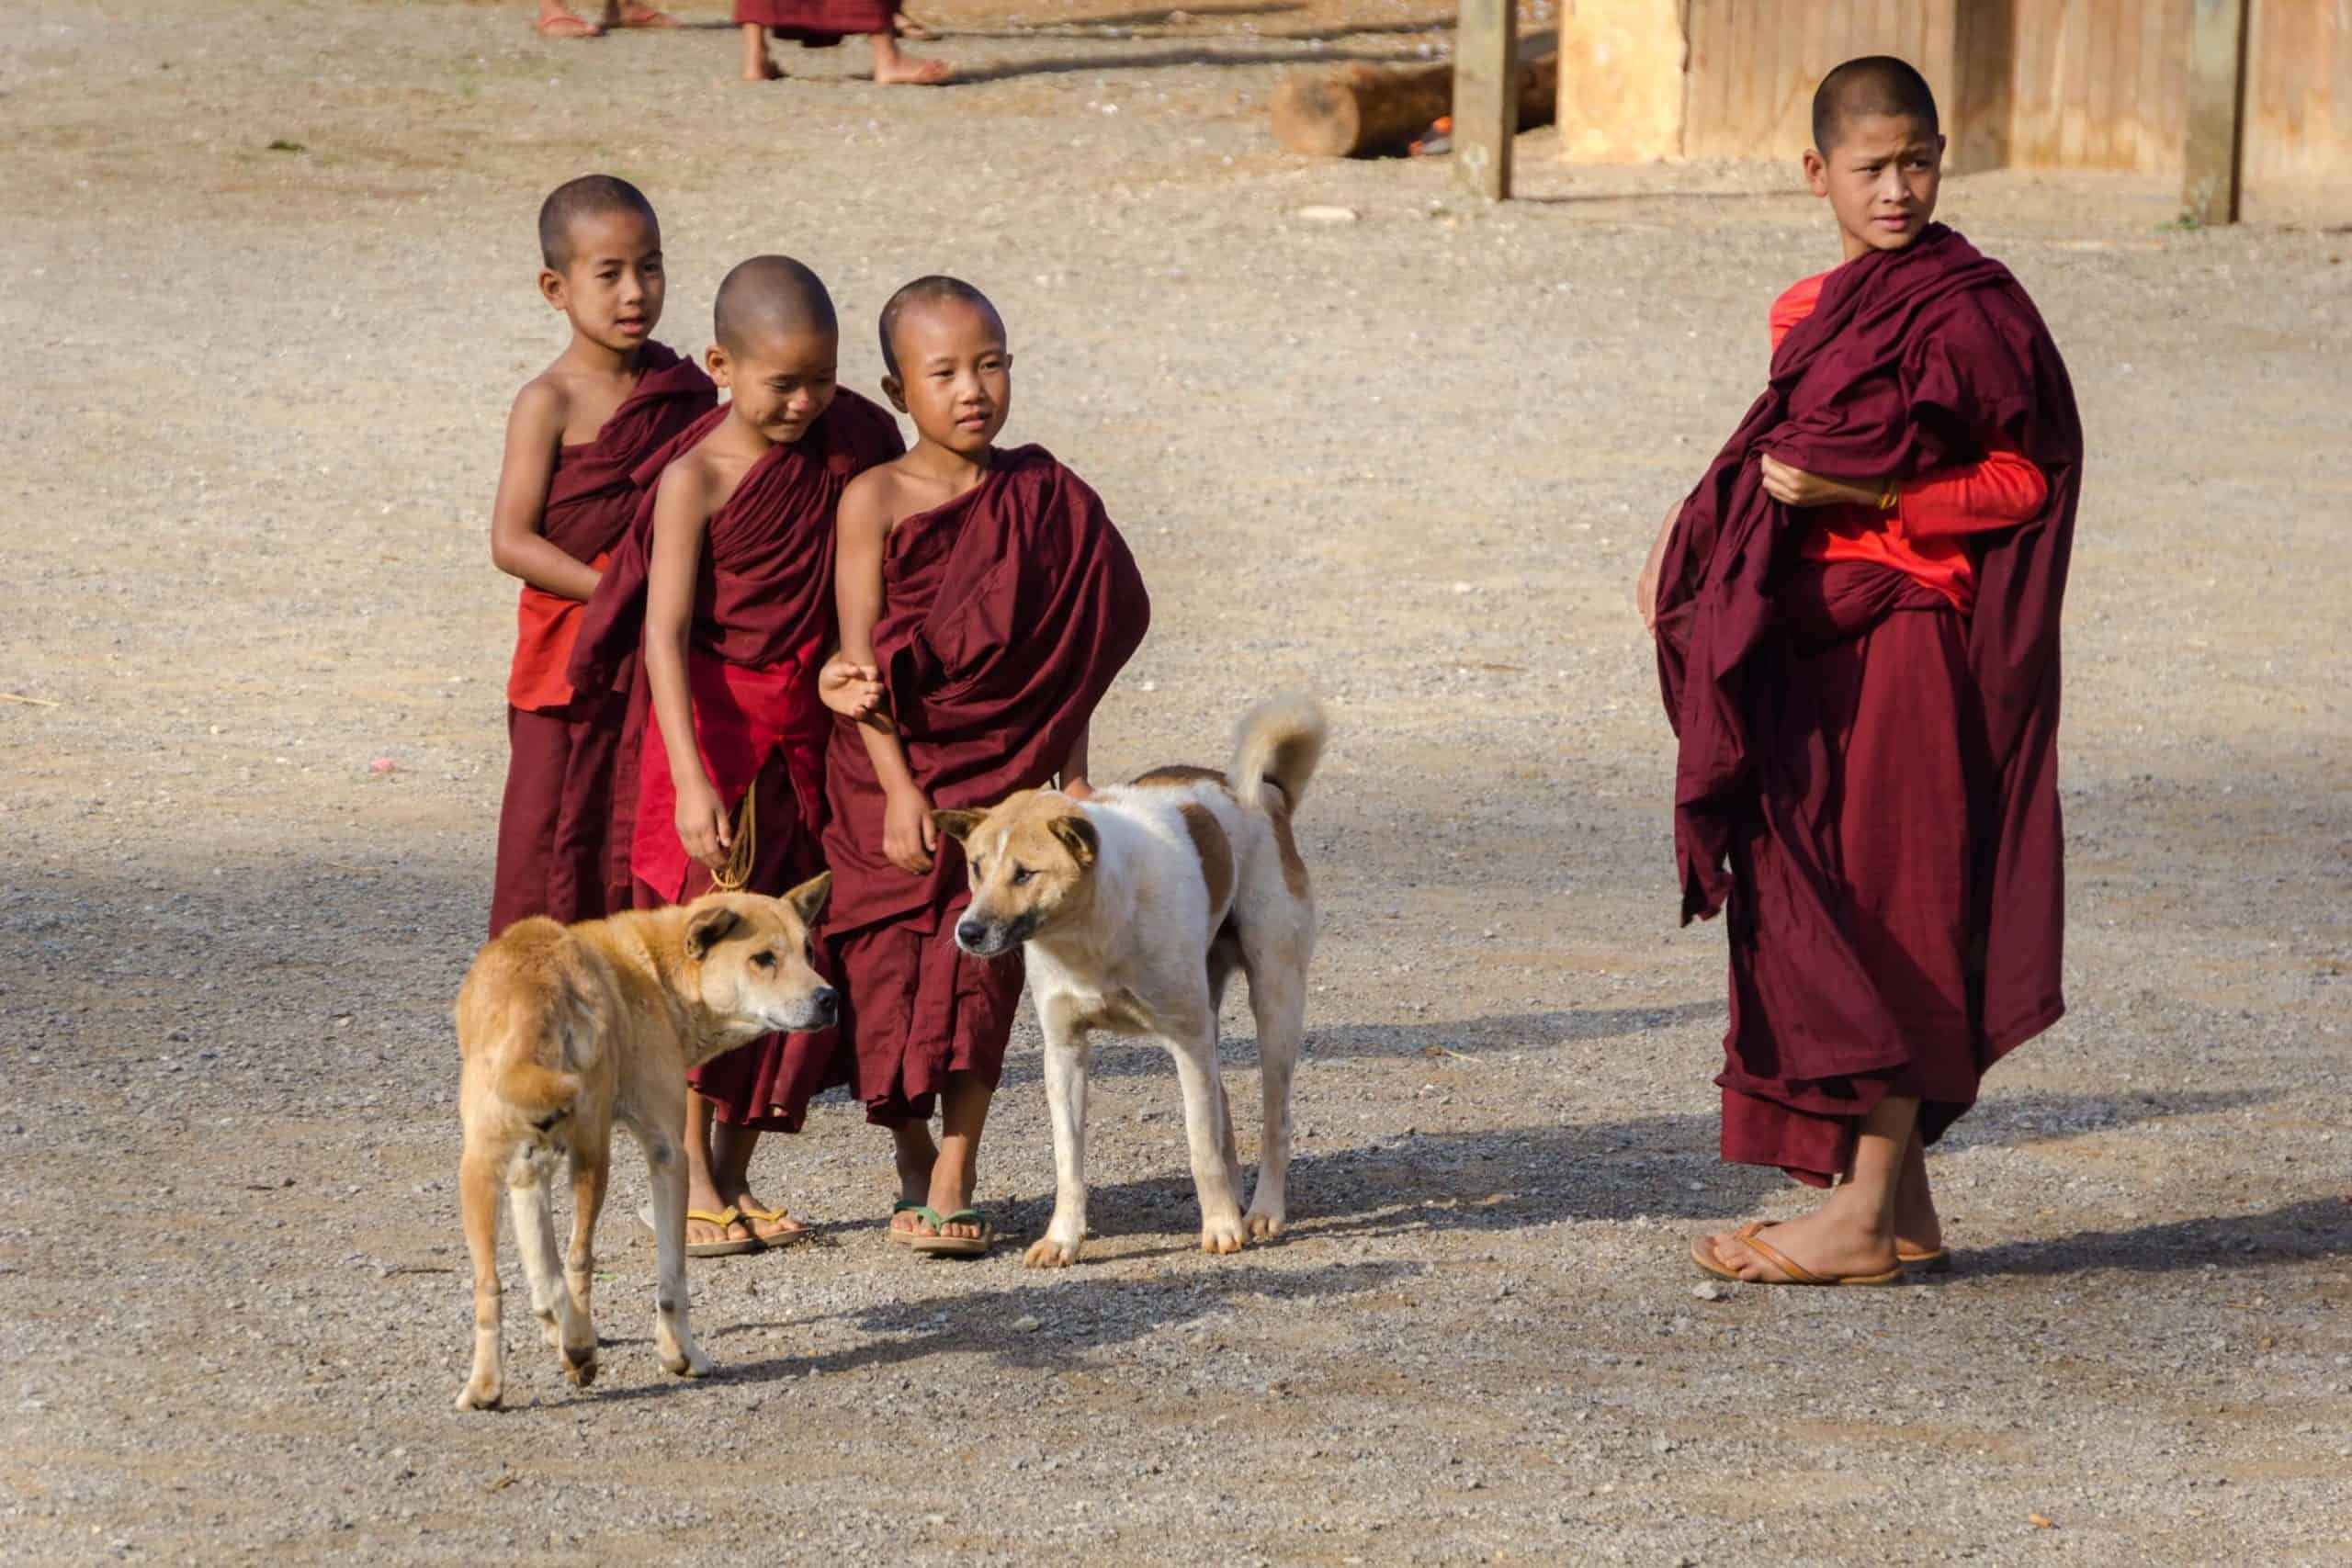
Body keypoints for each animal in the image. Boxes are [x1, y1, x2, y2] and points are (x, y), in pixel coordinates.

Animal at [448, 884, 837, 1410]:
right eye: (763, 959)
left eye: (809, 951)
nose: (829, 998)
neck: (658, 971)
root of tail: (534, 988)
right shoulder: (669, 1152)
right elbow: (671, 1278)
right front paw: (681, 1354)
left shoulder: (528, 1168)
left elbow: (541, 1269)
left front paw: (554, 1327)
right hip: (594, 1155)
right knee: (580, 1258)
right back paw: (580, 1348)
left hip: (479, 1170)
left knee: (489, 1284)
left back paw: (489, 1384)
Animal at [945, 695, 1336, 1259]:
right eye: (976, 866)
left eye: (1024, 873)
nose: (968, 932)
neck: (1090, 935)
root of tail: (1268, 794)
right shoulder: (1064, 1050)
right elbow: (1069, 1159)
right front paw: (1063, 1238)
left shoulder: (1187, 1043)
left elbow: (1200, 1145)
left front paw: (1220, 1227)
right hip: (1210, 1012)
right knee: (1224, 1112)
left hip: (1274, 1003)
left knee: (1274, 1121)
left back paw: (1262, 1211)